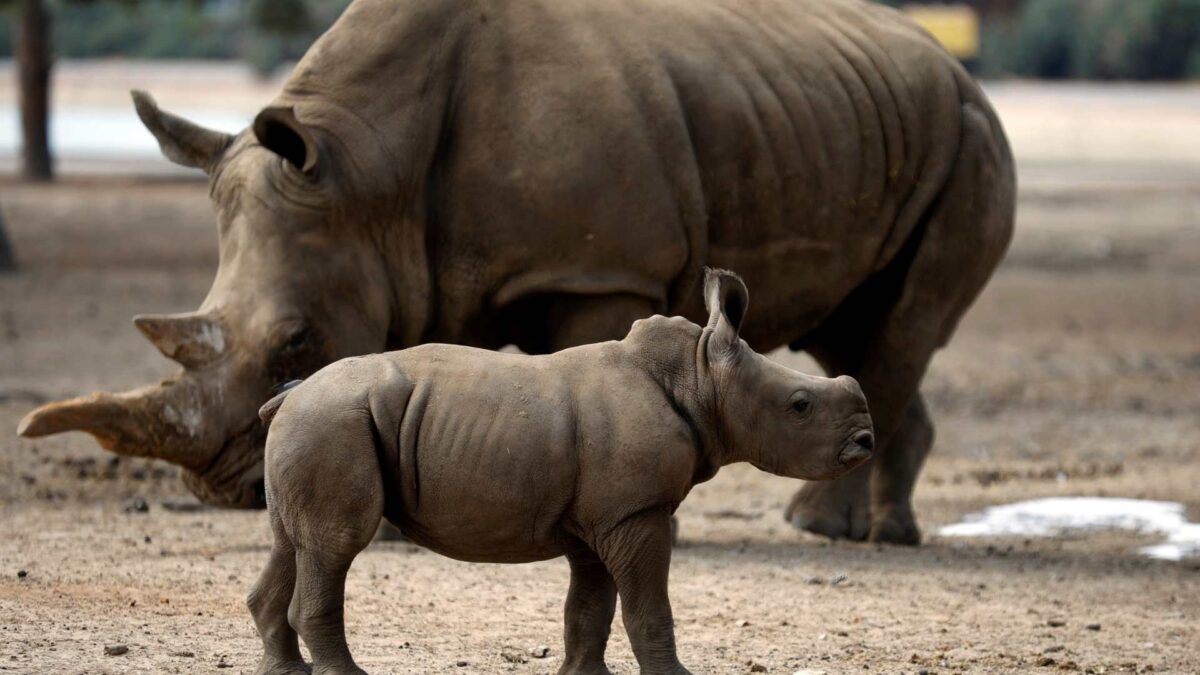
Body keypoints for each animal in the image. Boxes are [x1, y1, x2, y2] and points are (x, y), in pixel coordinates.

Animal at [253, 267, 873, 672]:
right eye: (800, 405)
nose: (865, 440)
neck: (700, 377)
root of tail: (289, 395)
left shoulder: (602, 518)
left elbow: (591, 608)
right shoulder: (635, 513)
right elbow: (647, 607)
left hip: (318, 424)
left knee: (294, 543)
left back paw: (288, 672)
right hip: (333, 422)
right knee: (335, 545)